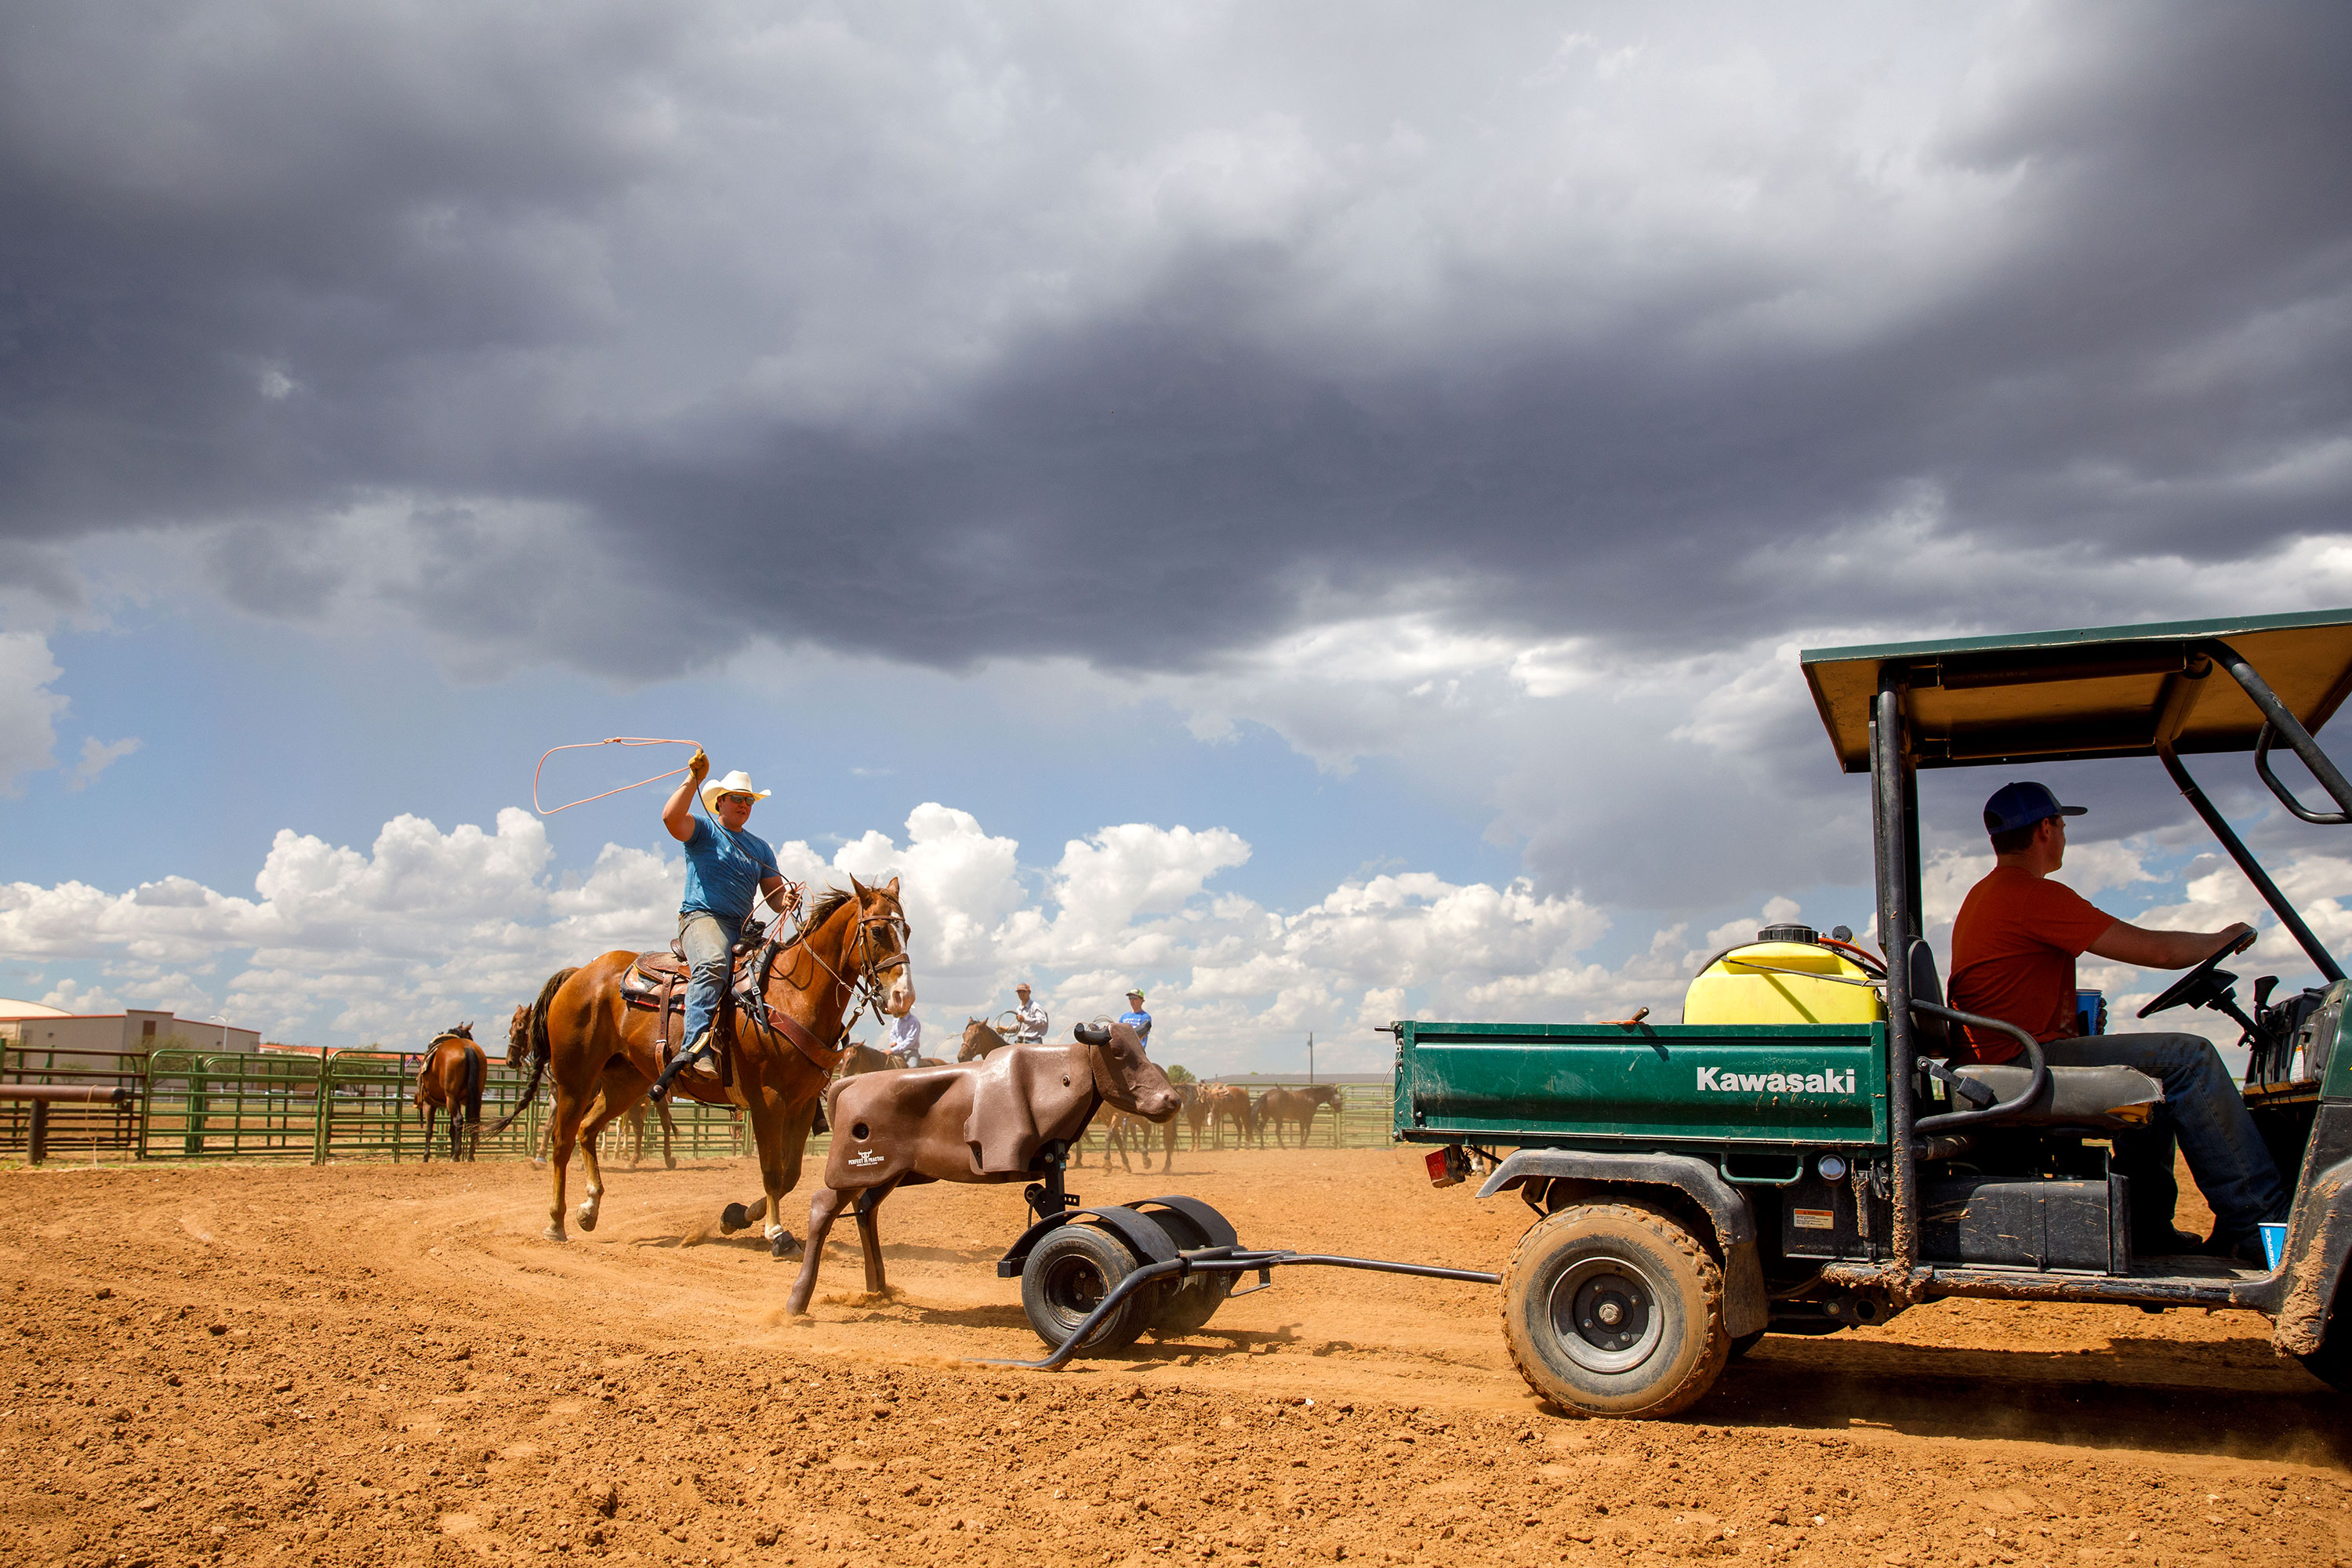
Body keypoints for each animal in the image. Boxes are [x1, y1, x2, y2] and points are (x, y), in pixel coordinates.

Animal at [416, 1029, 489, 1166]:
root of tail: (467, 1047)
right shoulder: (458, 1102)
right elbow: (451, 1130)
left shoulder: (429, 1104)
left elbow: (429, 1130)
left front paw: (425, 1156)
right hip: (475, 1098)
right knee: (473, 1122)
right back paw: (469, 1156)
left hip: (450, 1098)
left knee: (459, 1120)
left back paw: (455, 1155)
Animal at [520, 884, 913, 1250]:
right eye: (878, 931)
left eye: (906, 930)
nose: (903, 997)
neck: (792, 995)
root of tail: (579, 974)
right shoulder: (767, 1100)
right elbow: (772, 1171)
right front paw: (776, 1232)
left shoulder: (801, 1105)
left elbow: (790, 1174)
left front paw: (735, 1217)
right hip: (575, 1078)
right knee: (561, 1142)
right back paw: (555, 1222)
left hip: (624, 1083)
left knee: (587, 1130)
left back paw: (589, 1209)